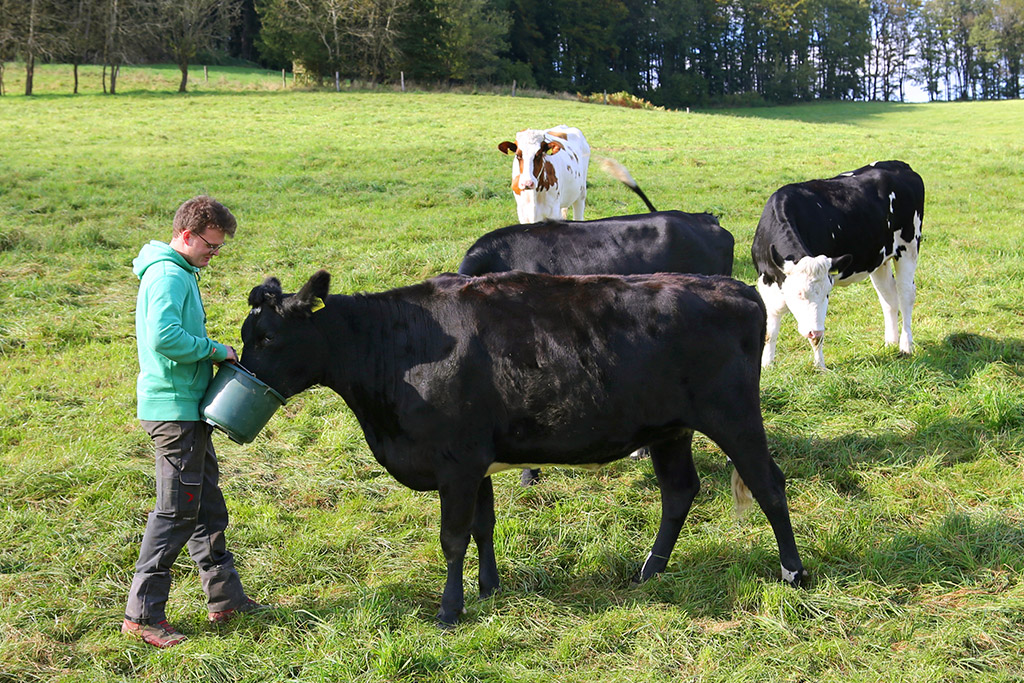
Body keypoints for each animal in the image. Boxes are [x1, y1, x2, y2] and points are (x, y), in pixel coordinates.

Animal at [241, 266, 806, 626]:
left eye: (267, 338)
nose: (238, 375)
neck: (398, 348)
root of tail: (733, 287)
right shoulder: (477, 462)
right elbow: (483, 526)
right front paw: (489, 588)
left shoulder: (456, 465)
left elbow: (453, 538)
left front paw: (450, 610)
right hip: (670, 429)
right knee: (679, 491)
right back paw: (650, 570)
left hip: (734, 418)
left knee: (769, 485)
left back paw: (793, 572)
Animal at [749, 160, 925, 370]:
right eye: (799, 294)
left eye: (827, 293)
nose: (814, 331)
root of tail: (901, 165)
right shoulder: (766, 283)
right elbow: (770, 330)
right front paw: (767, 365)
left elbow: (817, 338)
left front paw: (820, 367)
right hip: (879, 259)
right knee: (888, 295)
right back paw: (890, 343)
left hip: (909, 247)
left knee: (906, 294)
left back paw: (906, 346)